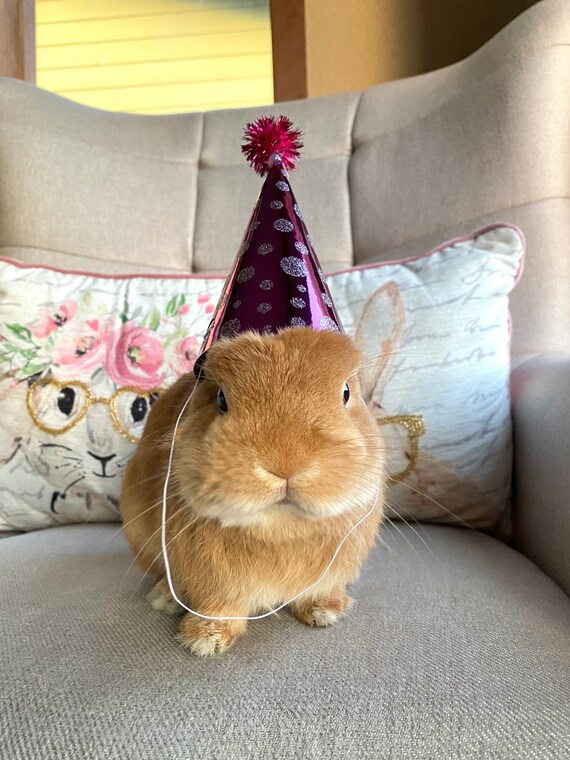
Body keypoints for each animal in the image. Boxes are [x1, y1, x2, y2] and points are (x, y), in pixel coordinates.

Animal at [121, 327, 386, 656]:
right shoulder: (214, 584)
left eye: (346, 393)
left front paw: (325, 612)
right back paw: (164, 598)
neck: (281, 530)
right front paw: (204, 640)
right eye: (221, 398)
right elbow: (217, 607)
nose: (285, 462)